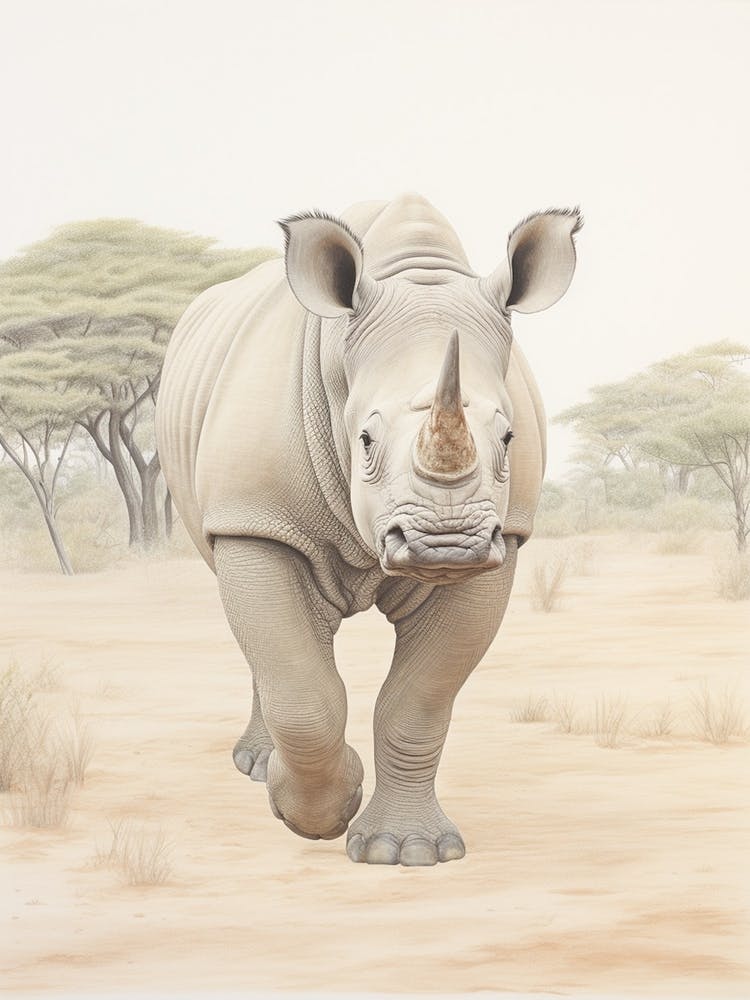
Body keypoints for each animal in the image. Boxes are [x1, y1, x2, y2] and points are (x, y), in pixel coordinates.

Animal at [155, 193, 581, 866]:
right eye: (366, 440)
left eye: (509, 438)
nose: (447, 543)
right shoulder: (256, 518)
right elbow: (301, 694)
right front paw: (314, 815)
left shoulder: (506, 536)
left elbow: (421, 699)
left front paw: (403, 852)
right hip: (227, 505)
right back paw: (259, 766)